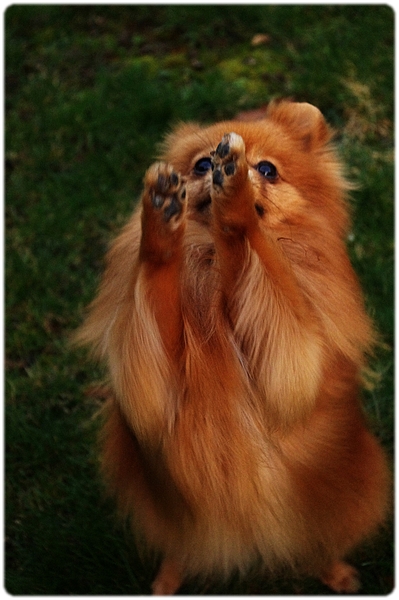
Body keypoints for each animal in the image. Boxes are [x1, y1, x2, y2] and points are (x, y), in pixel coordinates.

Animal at [76, 101, 390, 592]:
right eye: (200, 164)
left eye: (269, 169)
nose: (218, 167)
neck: (214, 268)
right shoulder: (151, 381)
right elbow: (157, 280)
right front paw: (161, 225)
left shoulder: (292, 360)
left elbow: (252, 242)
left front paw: (237, 201)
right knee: (180, 550)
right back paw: (166, 580)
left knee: (319, 542)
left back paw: (336, 572)